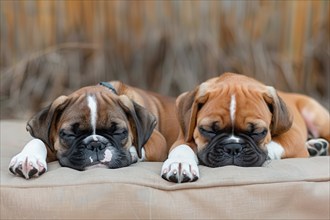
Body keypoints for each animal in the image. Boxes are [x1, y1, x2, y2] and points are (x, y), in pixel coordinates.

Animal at [9, 81, 179, 180]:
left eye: (119, 133)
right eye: (69, 134)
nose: (96, 145)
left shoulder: (158, 142)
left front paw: (129, 154)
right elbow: (38, 140)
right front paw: (27, 158)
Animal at [162, 73, 330, 183]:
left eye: (258, 132)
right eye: (208, 130)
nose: (233, 147)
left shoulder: (293, 135)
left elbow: (275, 144)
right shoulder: (183, 137)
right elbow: (182, 148)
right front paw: (180, 164)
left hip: (317, 118)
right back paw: (315, 146)